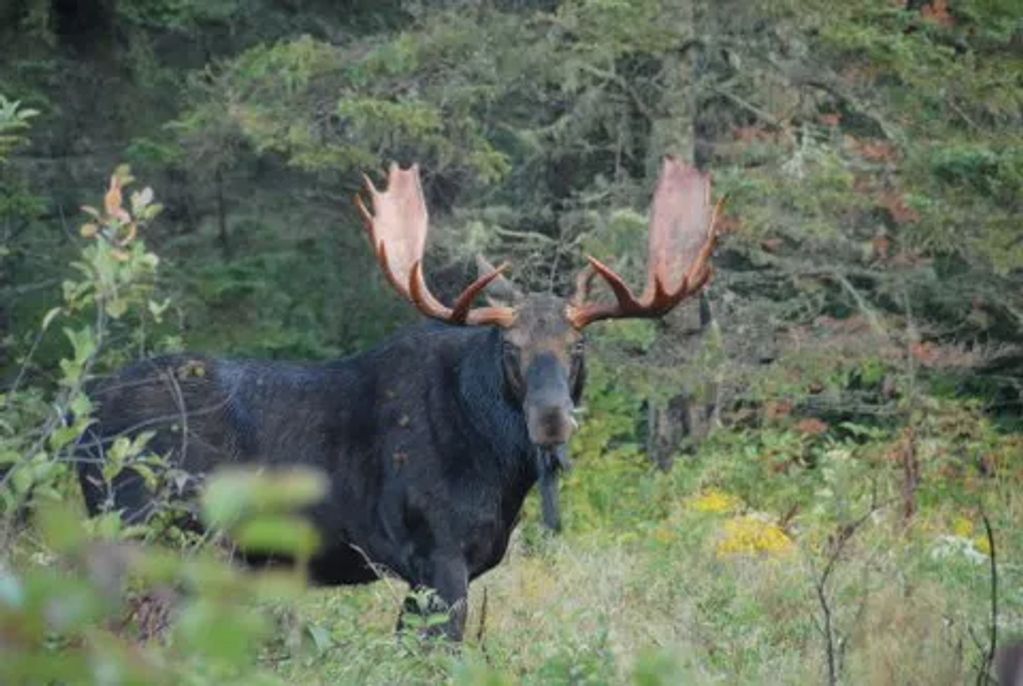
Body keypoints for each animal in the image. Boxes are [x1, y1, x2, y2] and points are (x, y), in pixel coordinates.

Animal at [76, 156, 722, 640]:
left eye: (578, 344)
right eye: (510, 346)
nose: (551, 419)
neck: (497, 467)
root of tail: (84, 418)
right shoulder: (436, 555)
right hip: (144, 529)